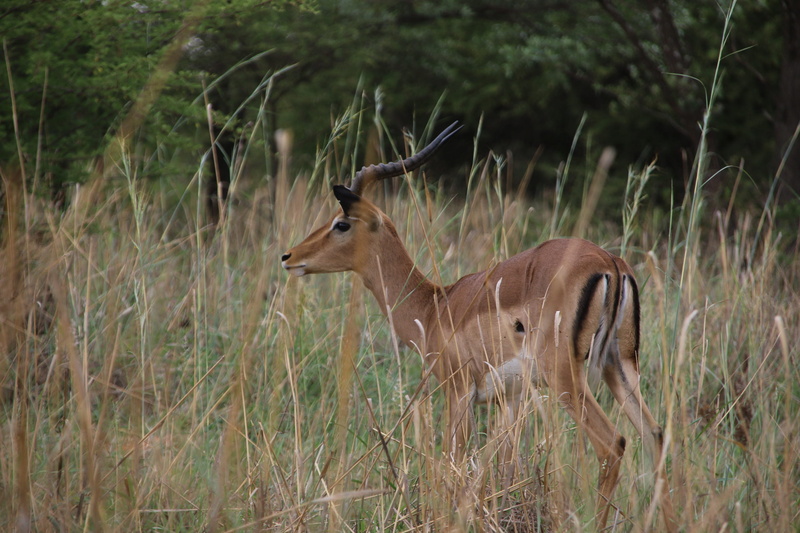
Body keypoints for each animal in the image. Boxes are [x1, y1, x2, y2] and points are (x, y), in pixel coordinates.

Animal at [281, 122, 678, 531]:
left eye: (341, 223)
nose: (289, 256)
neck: (434, 306)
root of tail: (611, 263)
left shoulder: (459, 393)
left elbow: (451, 463)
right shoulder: (510, 398)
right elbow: (503, 466)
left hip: (567, 378)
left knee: (614, 444)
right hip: (620, 365)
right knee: (656, 436)